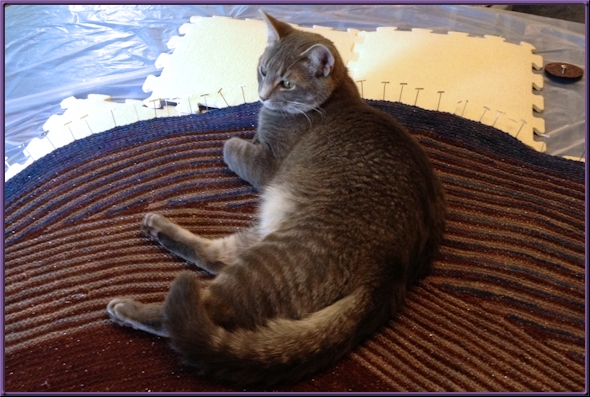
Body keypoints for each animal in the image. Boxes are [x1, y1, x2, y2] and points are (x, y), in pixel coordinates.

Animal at [107, 13, 448, 386]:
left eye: (286, 83)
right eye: (262, 71)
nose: (262, 95)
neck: (334, 99)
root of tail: (390, 276)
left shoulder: (268, 166)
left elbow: (231, 146)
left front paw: (236, 138)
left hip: (277, 255)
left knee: (207, 306)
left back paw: (129, 309)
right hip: (270, 231)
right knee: (217, 258)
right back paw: (157, 227)